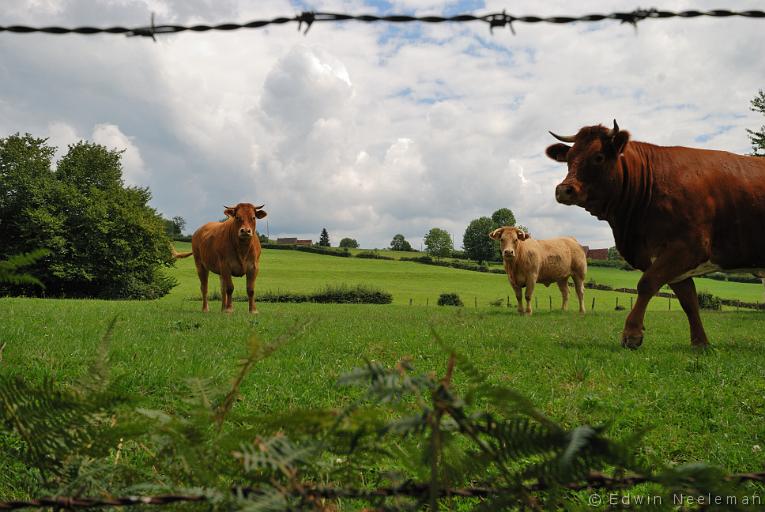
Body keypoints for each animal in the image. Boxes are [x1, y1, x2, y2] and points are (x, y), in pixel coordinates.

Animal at [548, 122, 765, 350]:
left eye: (598, 156)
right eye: (569, 158)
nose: (563, 190)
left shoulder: (688, 247)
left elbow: (647, 283)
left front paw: (632, 334)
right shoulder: (671, 260)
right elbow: (689, 301)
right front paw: (700, 343)